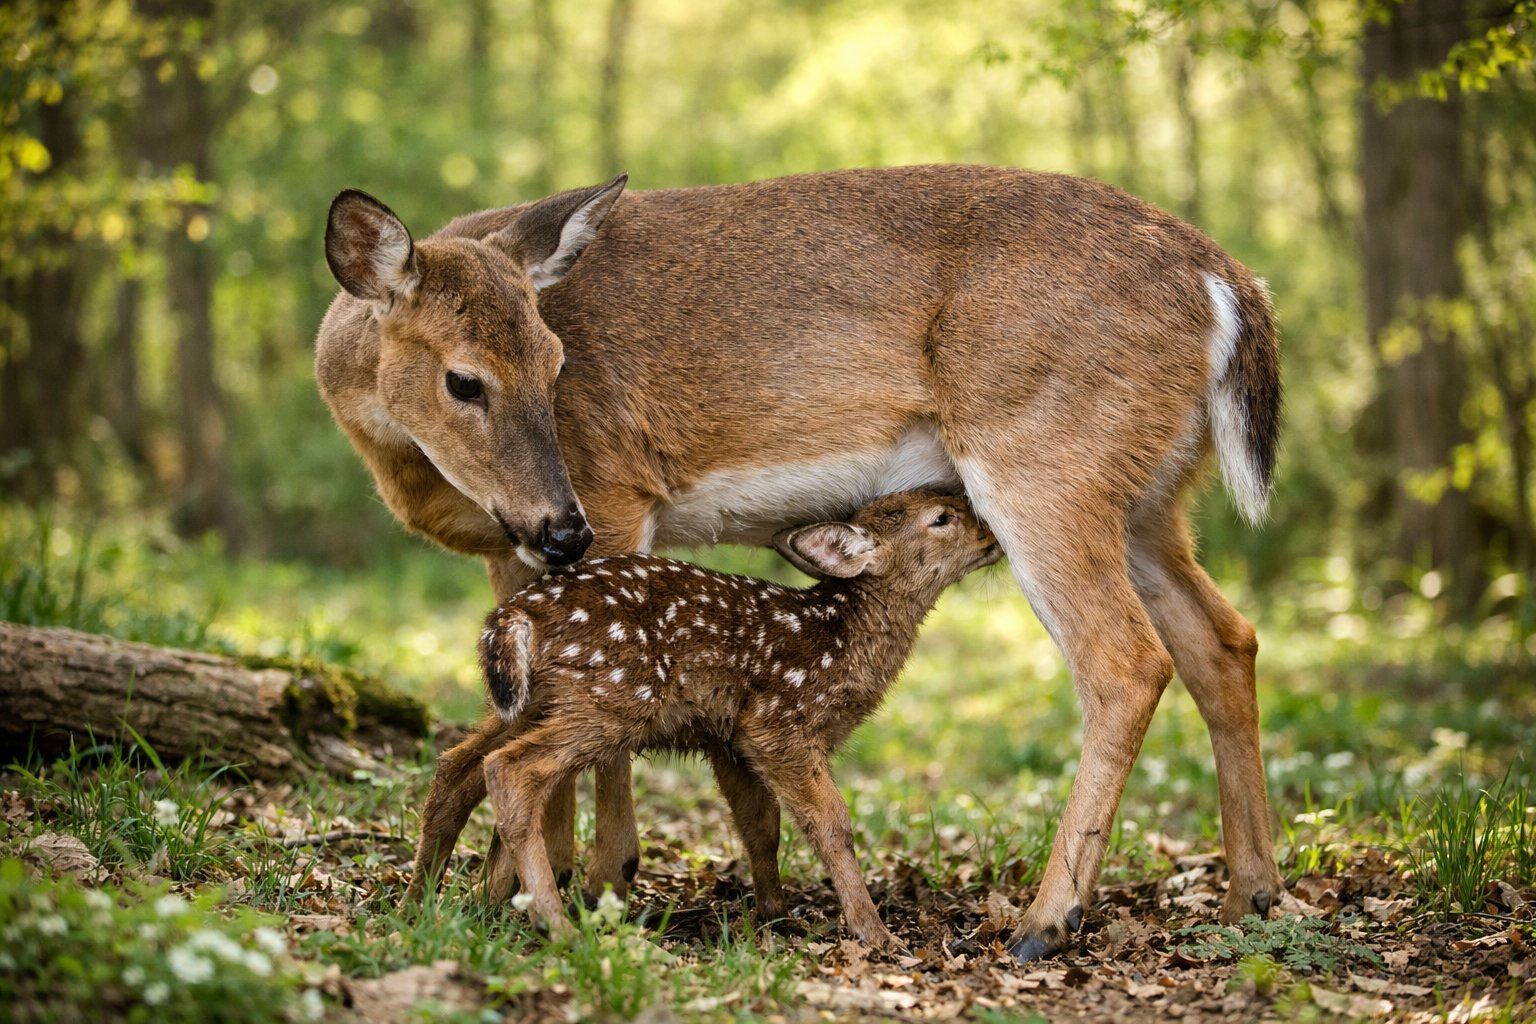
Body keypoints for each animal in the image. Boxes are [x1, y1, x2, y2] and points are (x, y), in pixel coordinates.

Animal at [475, 490, 1001, 948]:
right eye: (941, 518)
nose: (993, 532)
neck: (840, 640)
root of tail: (517, 615)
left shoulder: (729, 740)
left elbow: (761, 825)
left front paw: (777, 914)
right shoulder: (778, 721)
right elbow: (832, 823)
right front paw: (874, 932)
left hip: (541, 703)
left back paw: (491, 907)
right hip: (613, 698)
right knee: (509, 768)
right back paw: (555, 925)